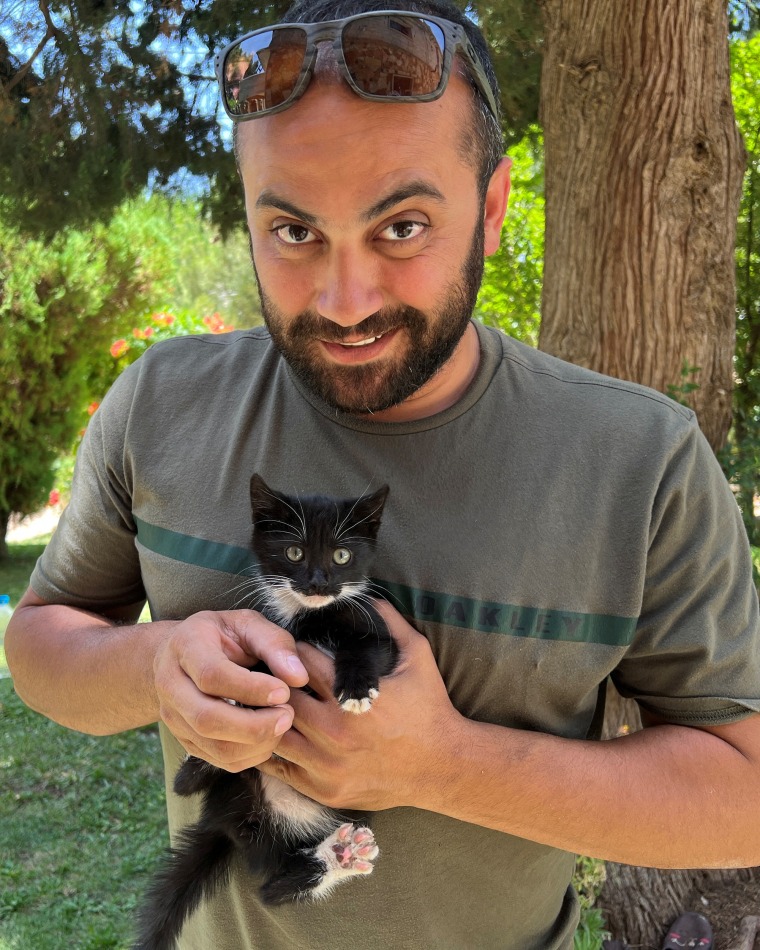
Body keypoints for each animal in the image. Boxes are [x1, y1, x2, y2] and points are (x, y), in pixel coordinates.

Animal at [134, 476, 398, 950]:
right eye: (294, 553)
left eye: (342, 556)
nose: (317, 583)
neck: (308, 617)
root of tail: (229, 824)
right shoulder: (269, 632)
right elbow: (259, 665)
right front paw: (239, 695)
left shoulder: (381, 630)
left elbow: (368, 648)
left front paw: (355, 687)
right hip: (234, 787)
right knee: (190, 791)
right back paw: (201, 762)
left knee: (274, 890)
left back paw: (340, 855)